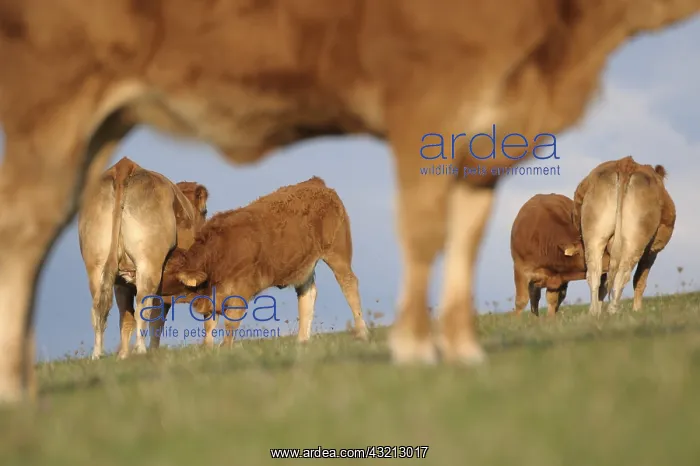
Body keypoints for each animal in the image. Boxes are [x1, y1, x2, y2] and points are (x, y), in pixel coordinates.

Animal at [78, 157, 209, 360]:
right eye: (205, 211)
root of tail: (124, 165)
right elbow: (156, 318)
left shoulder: (122, 283)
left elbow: (126, 318)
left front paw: (123, 356)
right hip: (149, 264)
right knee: (142, 304)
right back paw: (140, 349)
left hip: (96, 265)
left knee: (100, 308)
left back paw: (97, 354)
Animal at [154, 176, 369, 347]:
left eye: (164, 270)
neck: (218, 252)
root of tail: (316, 183)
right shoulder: (212, 297)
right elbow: (209, 327)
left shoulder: (240, 293)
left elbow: (230, 325)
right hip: (303, 266)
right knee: (307, 295)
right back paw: (302, 341)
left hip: (338, 253)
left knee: (349, 286)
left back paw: (362, 332)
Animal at [572, 156, 676, 316]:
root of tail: (625, 163)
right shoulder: (651, 252)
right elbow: (640, 280)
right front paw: (637, 310)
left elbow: (604, 283)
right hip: (635, 241)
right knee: (622, 275)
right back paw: (613, 311)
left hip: (594, 236)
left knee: (594, 273)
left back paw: (594, 312)